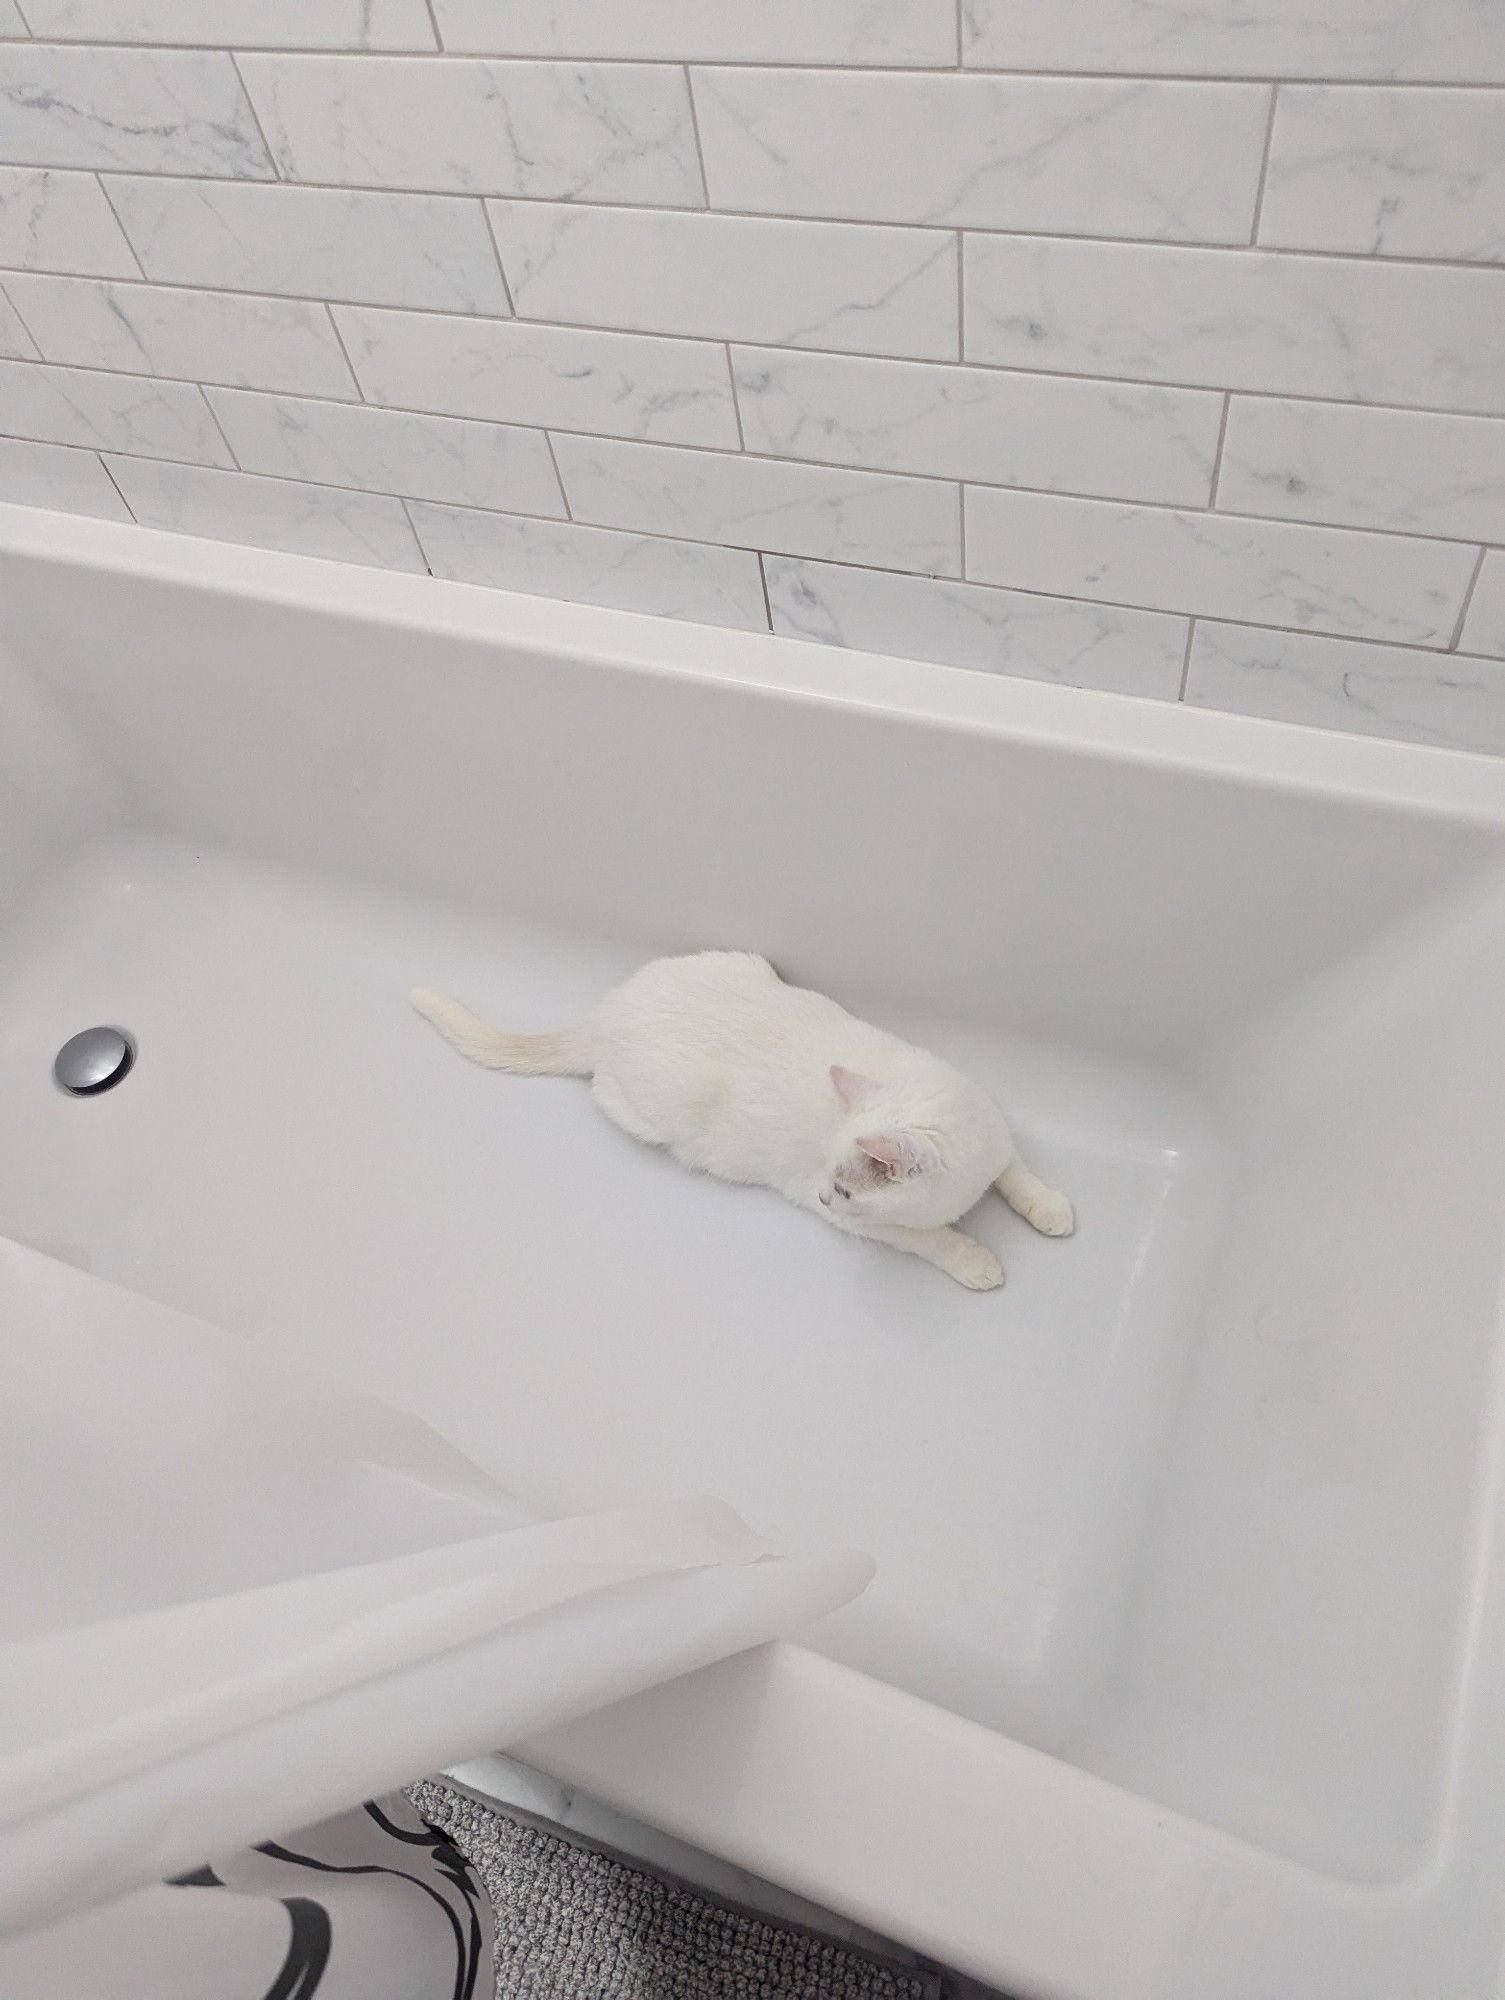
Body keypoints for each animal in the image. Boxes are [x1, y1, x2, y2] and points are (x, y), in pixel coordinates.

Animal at [412, 956, 1072, 1296]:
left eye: (846, 1186)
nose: (825, 1195)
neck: (960, 1184)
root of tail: (602, 1017)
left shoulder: (997, 1138)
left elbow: (1020, 1177)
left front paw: (1050, 1210)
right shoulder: (865, 1224)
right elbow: (929, 1238)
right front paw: (975, 1260)